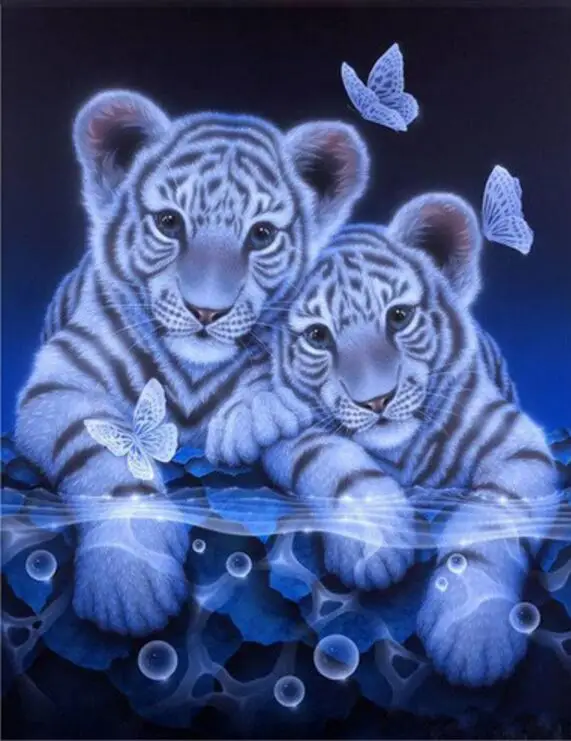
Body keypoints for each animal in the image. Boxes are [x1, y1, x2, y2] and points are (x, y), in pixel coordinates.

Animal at [14, 89, 370, 636]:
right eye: (169, 222)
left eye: (261, 234)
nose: (207, 310)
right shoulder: (59, 385)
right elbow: (105, 452)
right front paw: (128, 581)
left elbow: (324, 450)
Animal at [205, 192, 556, 687]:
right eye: (318, 335)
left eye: (399, 316)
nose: (376, 400)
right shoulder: (301, 436)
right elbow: (336, 462)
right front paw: (376, 544)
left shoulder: (516, 443)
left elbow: (492, 519)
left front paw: (474, 637)